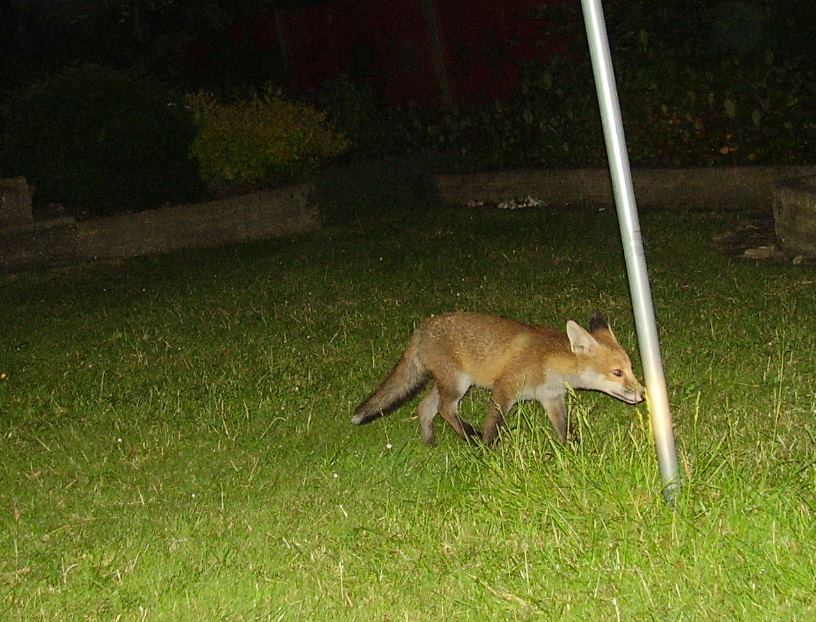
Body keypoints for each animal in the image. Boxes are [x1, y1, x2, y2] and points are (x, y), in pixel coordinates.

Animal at [350, 314, 644, 446]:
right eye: (617, 373)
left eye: (630, 368)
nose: (642, 394)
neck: (548, 364)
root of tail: (423, 326)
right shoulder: (505, 389)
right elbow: (494, 423)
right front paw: (489, 450)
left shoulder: (552, 399)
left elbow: (565, 429)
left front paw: (573, 450)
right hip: (458, 384)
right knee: (445, 409)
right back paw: (470, 437)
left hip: (449, 383)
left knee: (424, 407)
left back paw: (430, 441)